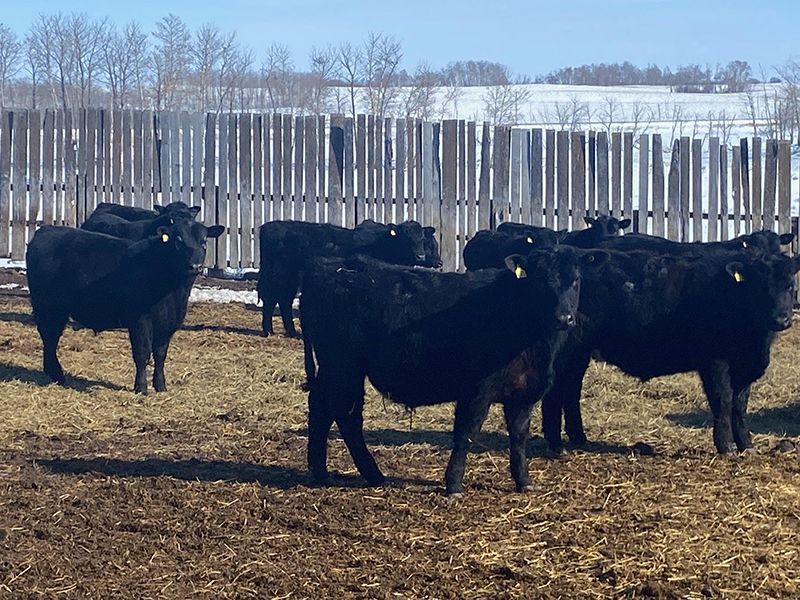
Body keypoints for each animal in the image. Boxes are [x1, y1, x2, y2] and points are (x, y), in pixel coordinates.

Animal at [26, 220, 224, 394]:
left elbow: (160, 355)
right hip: (48, 306)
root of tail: (46, 230)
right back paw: (57, 374)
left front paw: (160, 386)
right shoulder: (139, 320)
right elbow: (142, 353)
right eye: (179, 239)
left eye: (204, 241)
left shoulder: (168, 323)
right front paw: (141, 388)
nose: (195, 266)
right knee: (49, 337)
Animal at [256, 219, 428, 337]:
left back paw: (290, 331)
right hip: (277, 276)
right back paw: (268, 330)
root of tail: (268, 226)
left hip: (289, 279)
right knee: (271, 299)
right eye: (406, 238)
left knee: (284, 300)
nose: (420, 256)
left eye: (422, 238)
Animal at [299, 247, 604, 495]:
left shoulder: (524, 392)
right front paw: (454, 484)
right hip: (343, 366)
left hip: (339, 369)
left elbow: (519, 437)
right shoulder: (477, 389)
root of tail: (332, 266)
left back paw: (324, 472)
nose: (563, 318)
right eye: (541, 281)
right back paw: (369, 474)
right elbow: (466, 433)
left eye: (575, 280)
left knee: (325, 408)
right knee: (344, 414)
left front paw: (524, 482)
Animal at [540, 248, 800, 454]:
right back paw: (556, 445)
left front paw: (746, 445)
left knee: (570, 390)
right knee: (556, 392)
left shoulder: (743, 367)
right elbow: (723, 400)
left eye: (790, 285)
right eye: (761, 287)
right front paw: (726, 446)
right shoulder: (715, 362)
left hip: (579, 354)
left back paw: (579, 439)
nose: (780, 319)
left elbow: (740, 404)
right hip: (568, 351)